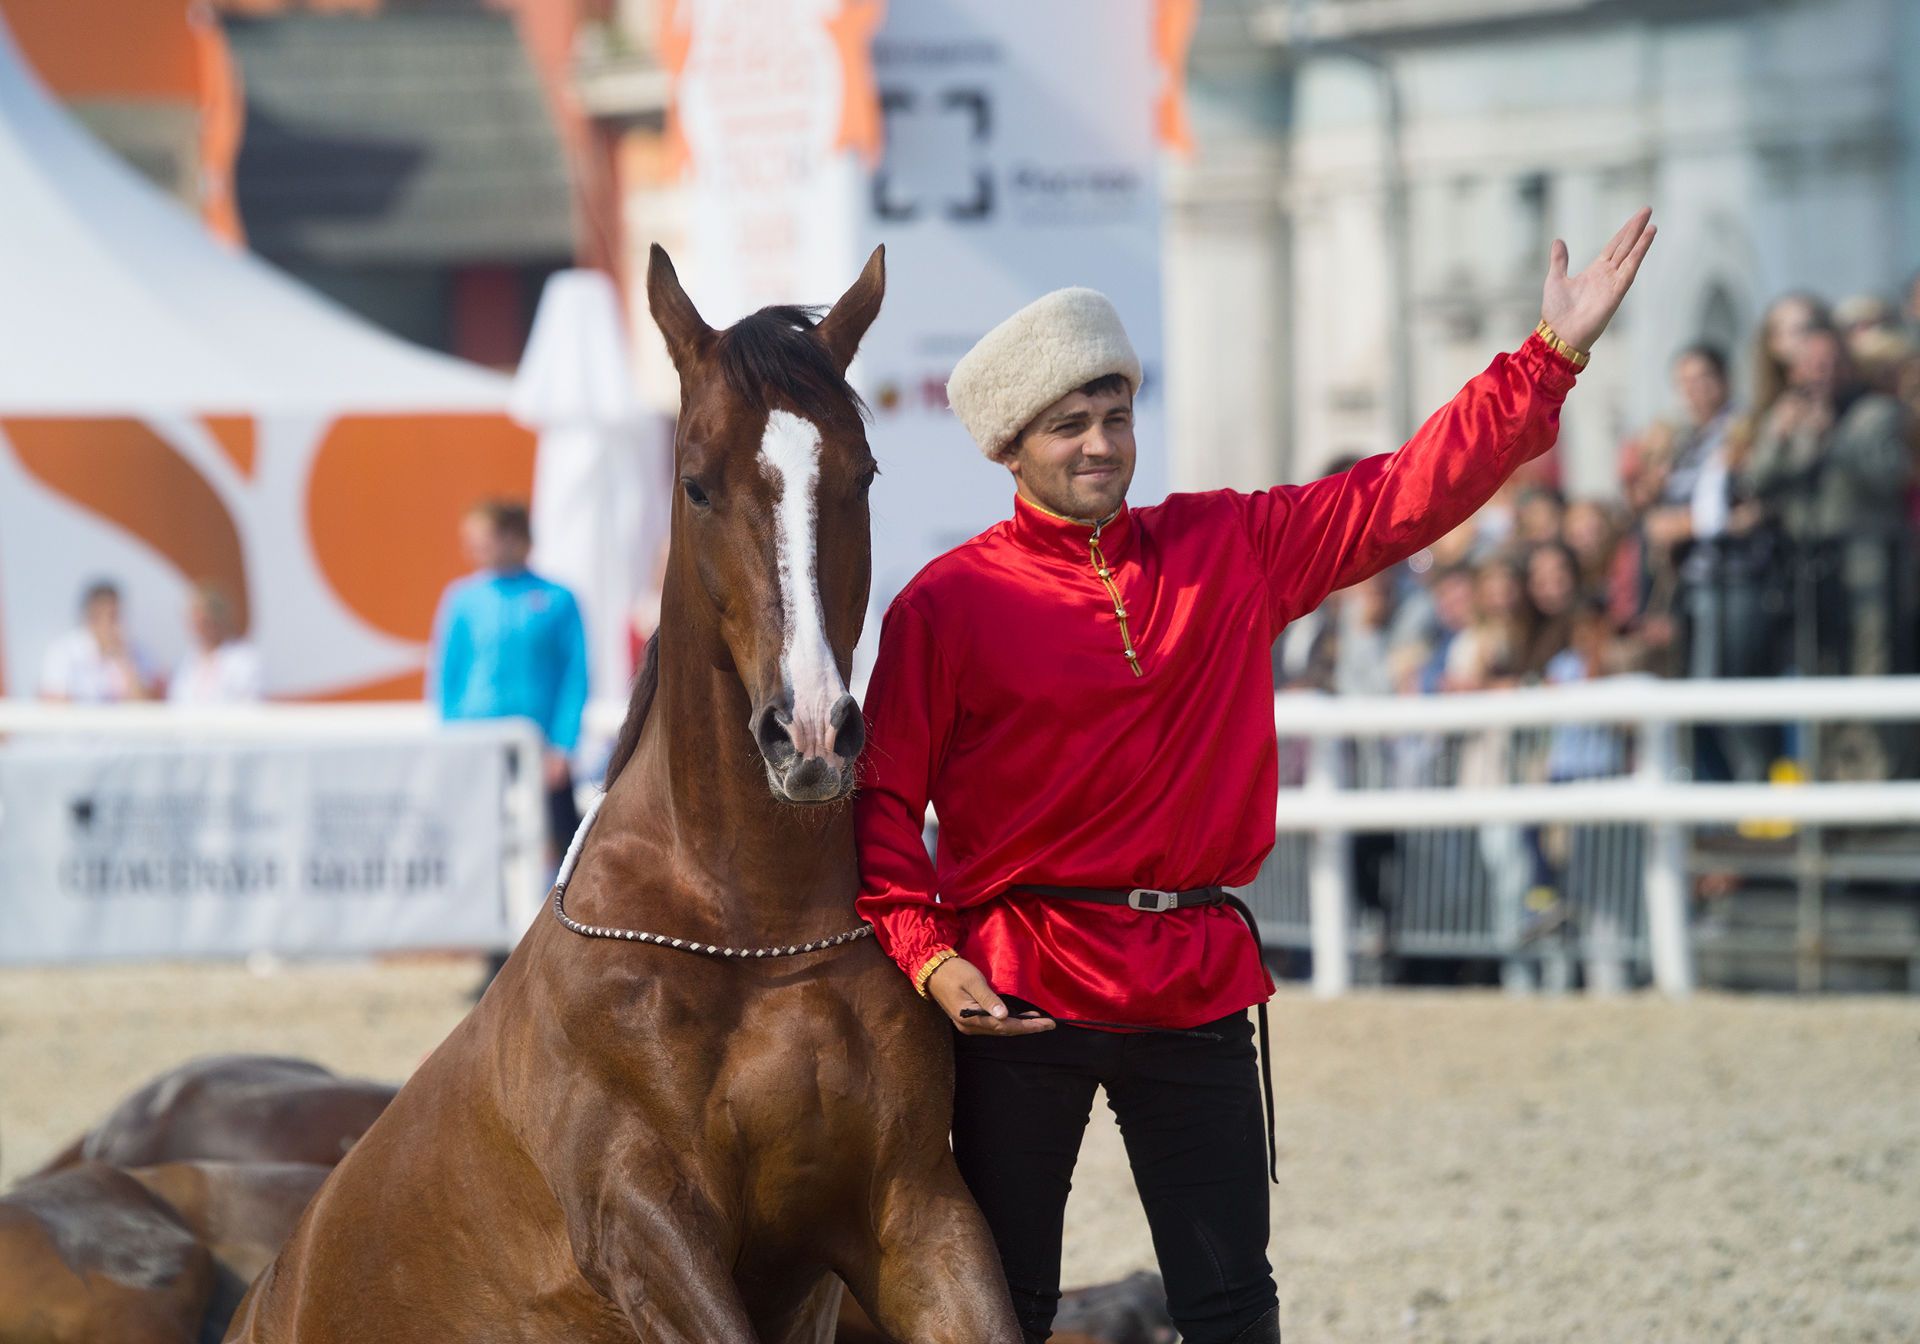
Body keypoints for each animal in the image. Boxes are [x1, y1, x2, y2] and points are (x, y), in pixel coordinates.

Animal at [228, 243, 1021, 1344]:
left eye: (860, 474)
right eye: (694, 483)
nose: (811, 733)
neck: (753, 936)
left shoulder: (914, 1210)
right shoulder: (645, 1228)